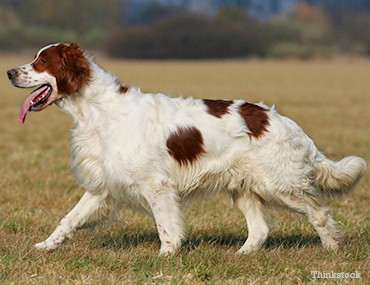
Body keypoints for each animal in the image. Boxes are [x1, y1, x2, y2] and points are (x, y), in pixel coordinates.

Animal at [7, 43, 366, 254]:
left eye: (41, 61)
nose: (9, 71)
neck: (98, 110)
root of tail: (285, 122)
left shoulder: (157, 185)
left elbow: (166, 227)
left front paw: (166, 257)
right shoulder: (103, 186)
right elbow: (68, 219)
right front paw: (45, 246)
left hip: (280, 185)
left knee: (319, 213)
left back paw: (332, 249)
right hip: (244, 188)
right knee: (260, 229)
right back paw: (242, 255)